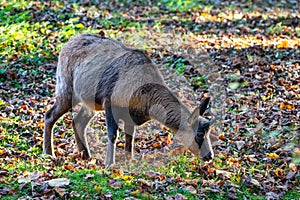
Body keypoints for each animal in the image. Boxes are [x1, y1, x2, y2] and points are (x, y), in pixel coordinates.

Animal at [43, 34, 214, 166]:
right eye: (199, 134)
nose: (209, 156)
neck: (145, 100)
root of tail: (67, 44)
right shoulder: (109, 102)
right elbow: (113, 134)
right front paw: (109, 163)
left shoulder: (129, 113)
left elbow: (130, 137)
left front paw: (129, 160)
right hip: (66, 89)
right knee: (49, 115)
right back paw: (49, 153)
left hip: (90, 102)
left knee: (77, 121)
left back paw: (85, 155)